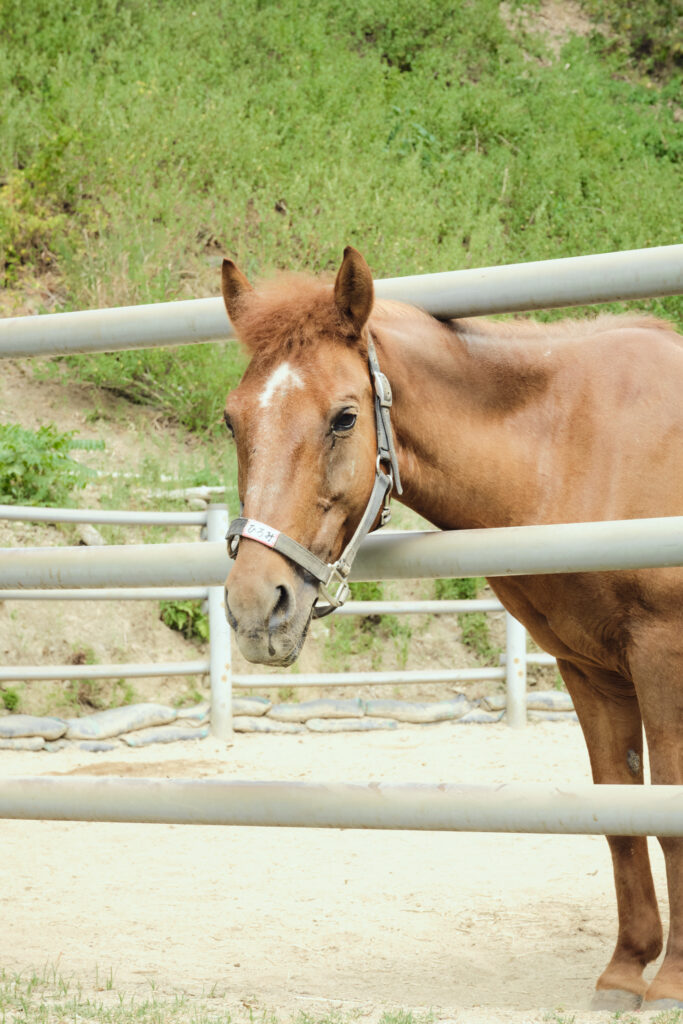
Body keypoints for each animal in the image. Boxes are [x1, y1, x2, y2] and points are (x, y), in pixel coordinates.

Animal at [220, 245, 683, 1011]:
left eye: (344, 418)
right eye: (232, 422)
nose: (258, 609)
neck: (581, 446)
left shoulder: (661, 658)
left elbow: (670, 817)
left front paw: (670, 981)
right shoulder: (591, 672)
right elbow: (619, 817)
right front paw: (623, 972)